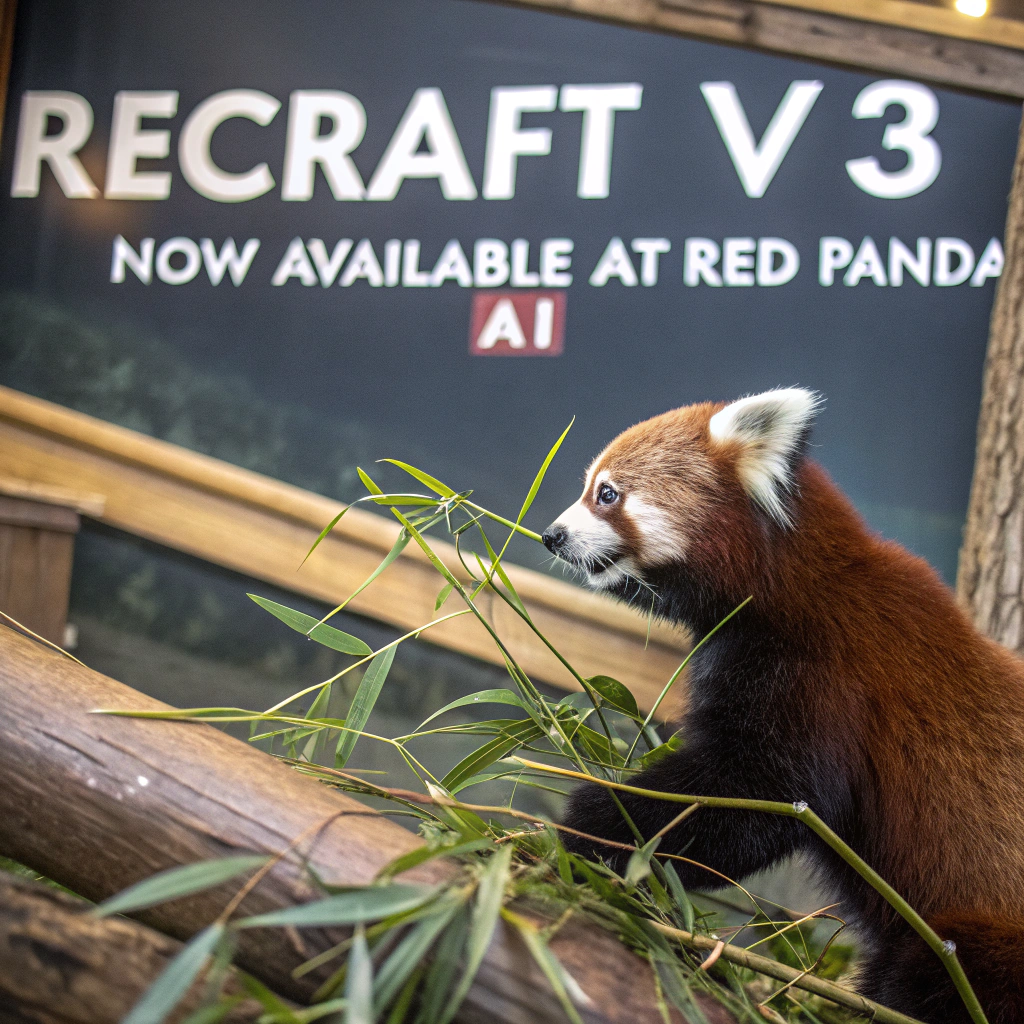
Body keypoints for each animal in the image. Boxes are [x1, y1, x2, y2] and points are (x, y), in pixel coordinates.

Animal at [542, 388, 1024, 1024]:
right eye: (590, 488)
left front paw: (591, 830)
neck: (789, 585)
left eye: (607, 494)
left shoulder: (821, 675)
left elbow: (759, 792)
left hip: (984, 941)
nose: (551, 535)